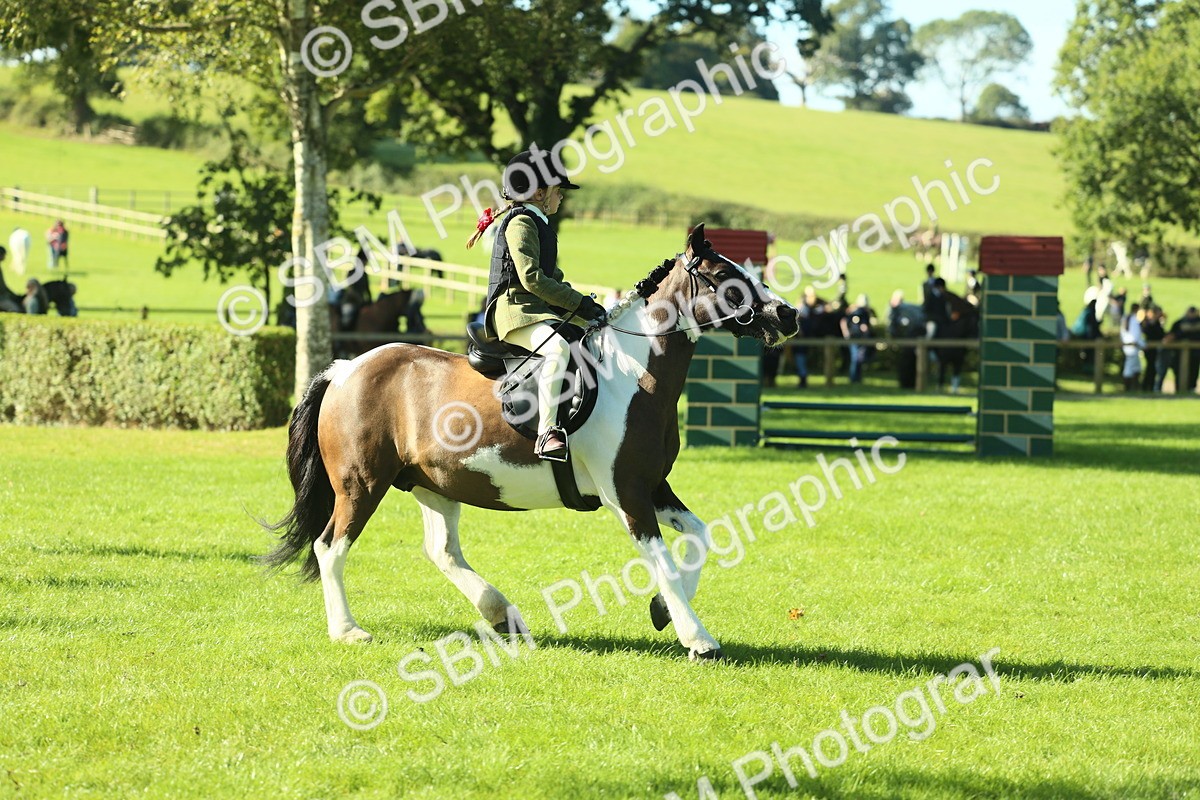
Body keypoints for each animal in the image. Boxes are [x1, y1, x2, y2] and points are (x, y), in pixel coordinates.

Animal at [263, 224, 800, 660]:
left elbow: (701, 537)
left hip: (432, 483)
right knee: (330, 546)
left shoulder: (652, 485)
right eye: (725, 277)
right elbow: (663, 562)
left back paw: (502, 615)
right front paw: (698, 639)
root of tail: (345, 369)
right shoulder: (626, 493)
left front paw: (663, 611)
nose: (789, 314)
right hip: (361, 484)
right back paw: (348, 631)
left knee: (442, 552)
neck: (634, 374)